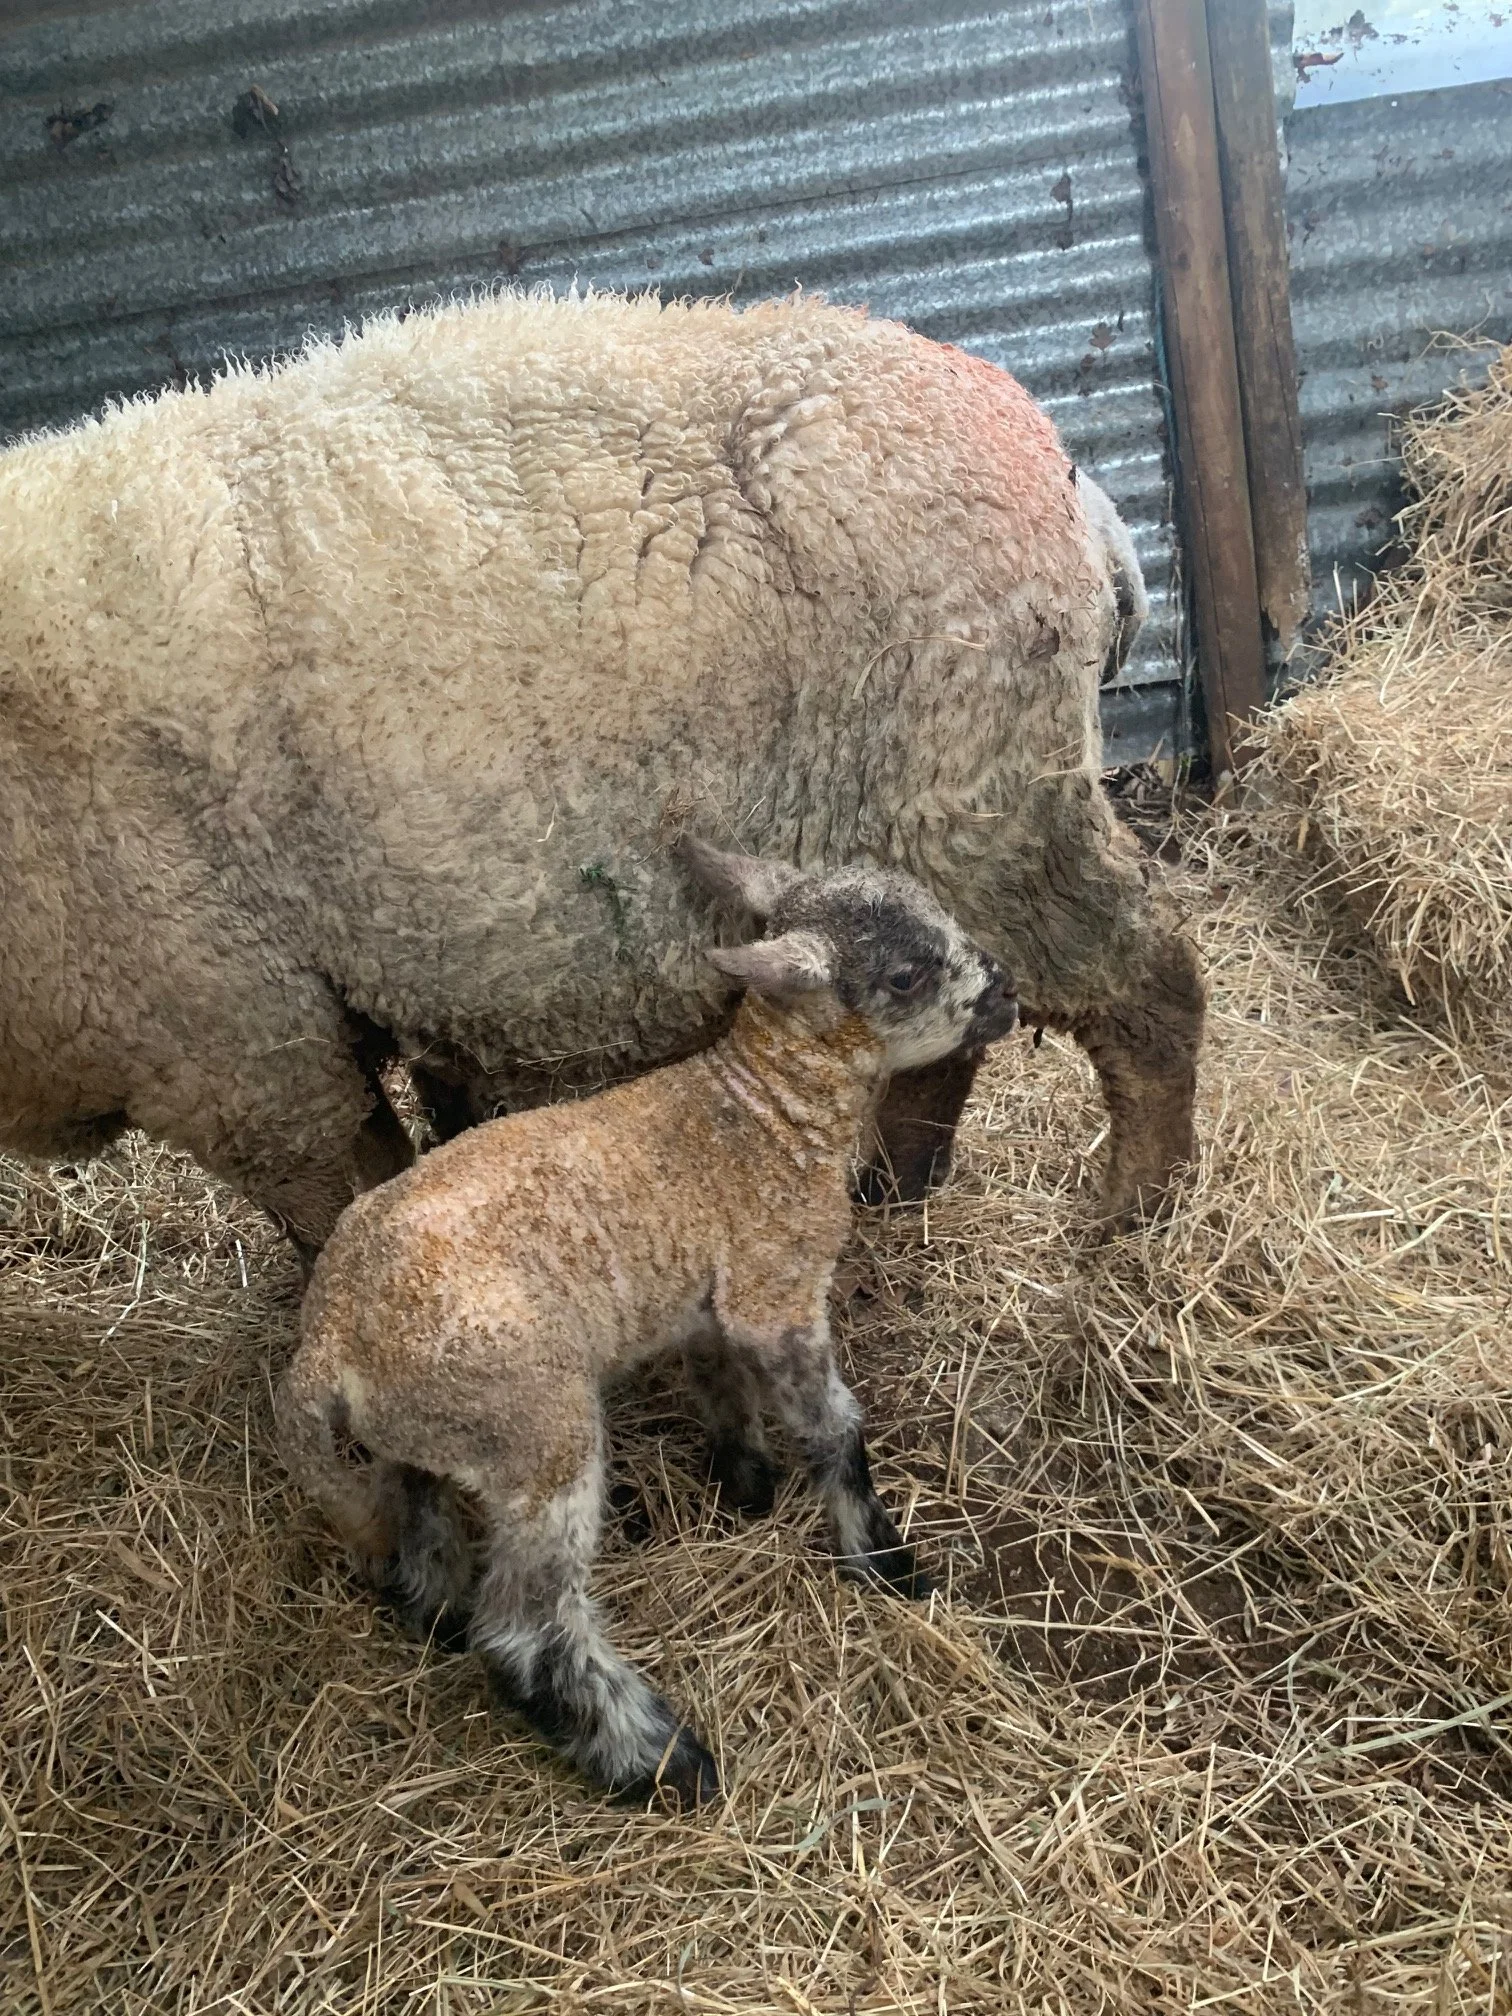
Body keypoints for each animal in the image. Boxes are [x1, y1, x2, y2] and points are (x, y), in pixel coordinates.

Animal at [0, 288, 1202, 1254]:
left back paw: (1133, 1210)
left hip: (990, 808)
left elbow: (339, 1207)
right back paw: (889, 1195)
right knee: (944, 1037)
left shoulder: (239, 1049)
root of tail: (1079, 491)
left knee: (1149, 980)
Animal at [276, 839, 1020, 1802]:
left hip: (430, 1432)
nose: (1006, 991)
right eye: (906, 973)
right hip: (534, 1434)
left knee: (425, 1531)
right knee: (525, 1629)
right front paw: (882, 1561)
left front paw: (745, 1485)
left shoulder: (707, 1306)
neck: (765, 1110)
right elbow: (836, 1429)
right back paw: (658, 1759)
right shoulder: (777, 1292)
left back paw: (437, 1616)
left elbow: (721, 1385)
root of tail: (327, 1341)